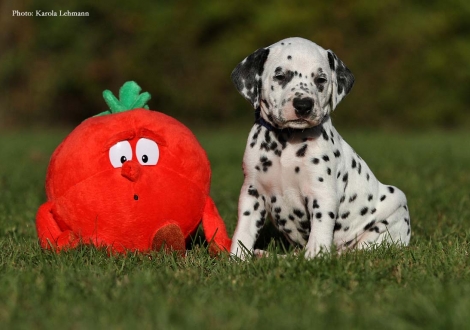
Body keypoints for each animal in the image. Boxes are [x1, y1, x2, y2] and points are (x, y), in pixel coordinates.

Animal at [229, 37, 410, 260]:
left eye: (321, 80)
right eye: (280, 76)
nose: (303, 105)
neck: (286, 141)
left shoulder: (322, 193)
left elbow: (320, 233)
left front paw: (315, 259)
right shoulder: (252, 192)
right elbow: (244, 231)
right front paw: (236, 259)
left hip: (394, 209)